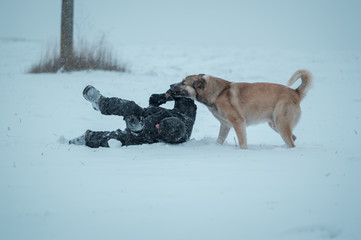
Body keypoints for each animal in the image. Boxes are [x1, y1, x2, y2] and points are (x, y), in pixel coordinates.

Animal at [170, 70, 310, 148]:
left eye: (183, 82)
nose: (170, 85)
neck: (217, 93)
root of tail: (295, 92)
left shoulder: (239, 122)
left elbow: (243, 143)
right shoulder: (225, 125)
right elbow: (219, 140)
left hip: (281, 124)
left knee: (292, 142)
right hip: (275, 125)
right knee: (293, 138)